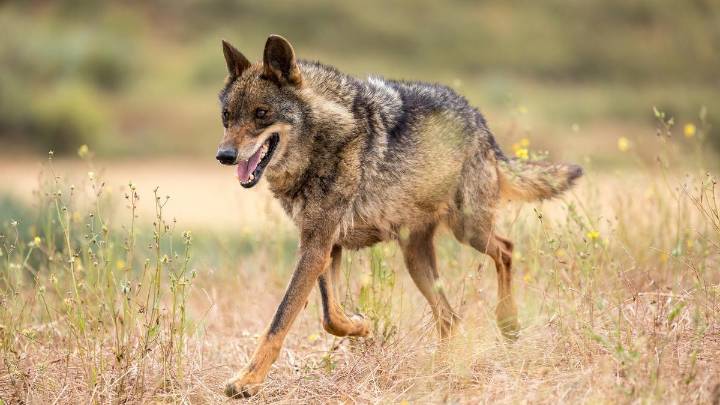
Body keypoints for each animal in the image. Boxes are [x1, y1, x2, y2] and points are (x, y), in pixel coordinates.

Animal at [216, 35, 582, 397]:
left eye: (261, 114)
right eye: (227, 116)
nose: (224, 155)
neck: (325, 139)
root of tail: (479, 118)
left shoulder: (318, 246)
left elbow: (280, 319)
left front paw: (247, 381)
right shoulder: (322, 244)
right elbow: (331, 316)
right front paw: (361, 325)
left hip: (468, 230)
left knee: (506, 250)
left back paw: (508, 323)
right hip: (417, 259)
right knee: (450, 316)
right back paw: (440, 371)